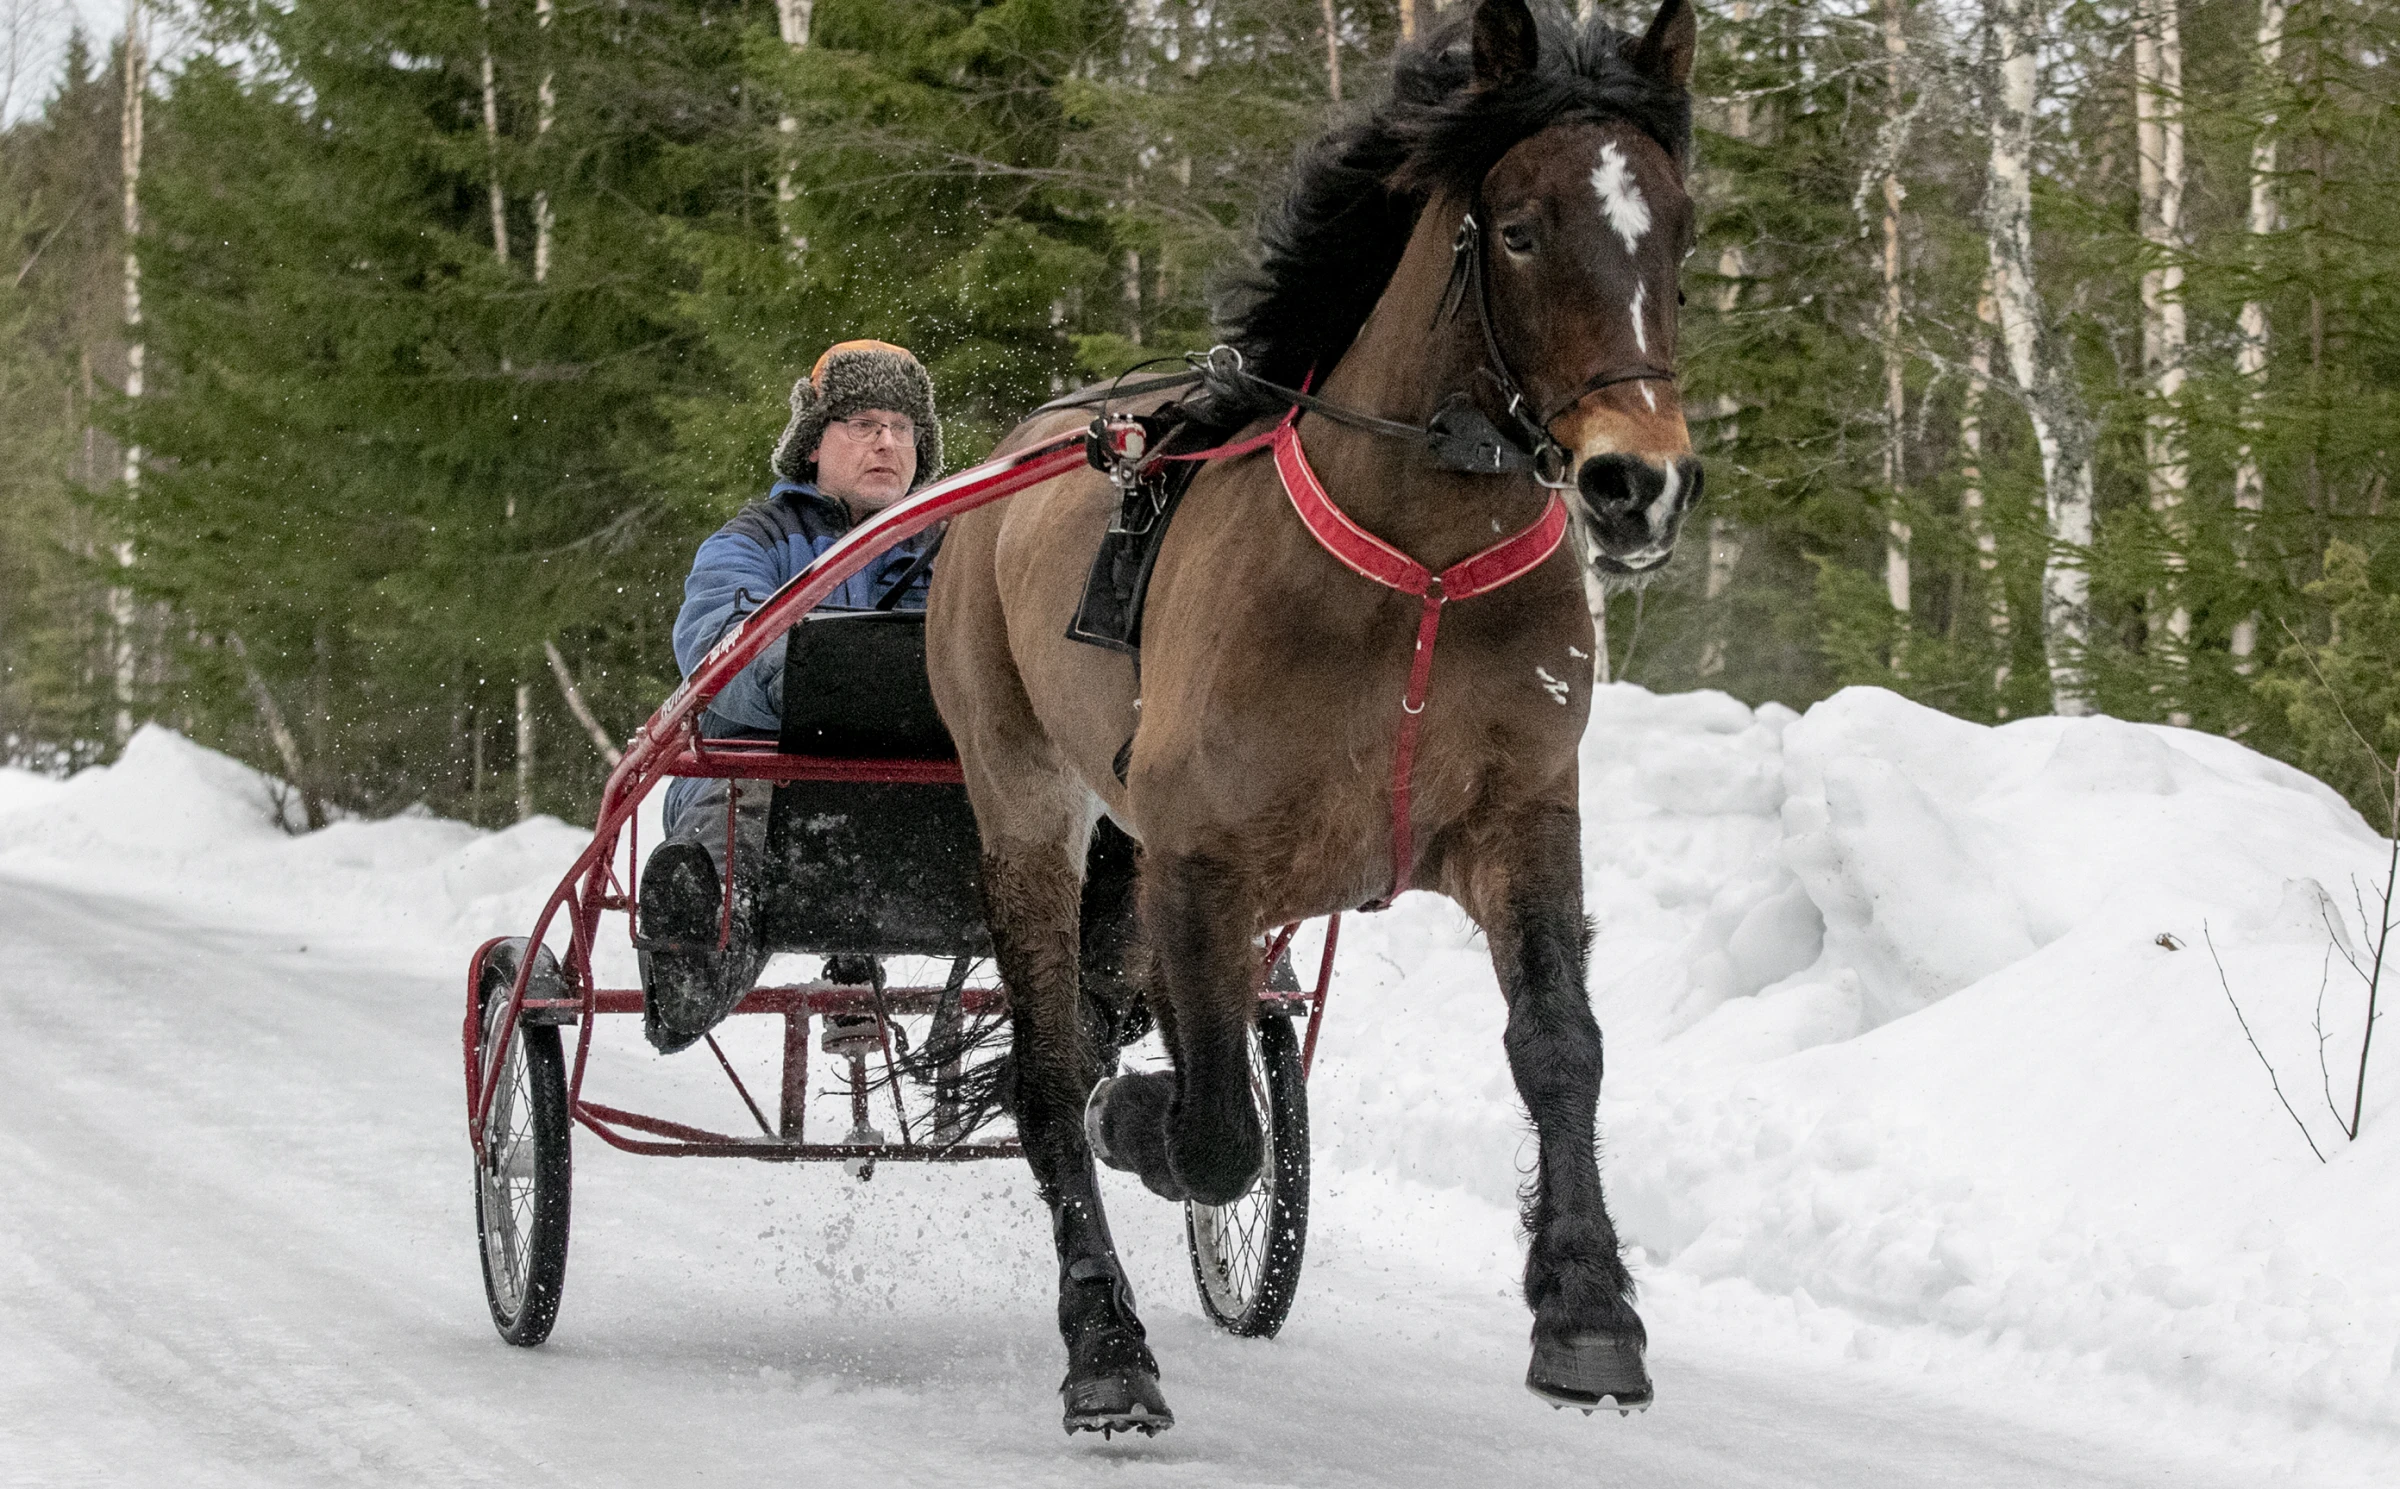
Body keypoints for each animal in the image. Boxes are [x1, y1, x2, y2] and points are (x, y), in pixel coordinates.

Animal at [921, 0, 1708, 1440]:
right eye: (1521, 228)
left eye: (1675, 229)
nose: (1641, 483)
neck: (1421, 573)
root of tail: (1013, 458)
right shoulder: (1197, 856)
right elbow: (1216, 1128)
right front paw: (1142, 1121)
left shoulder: (1522, 813)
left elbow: (1560, 1048)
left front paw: (1586, 1312)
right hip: (1026, 800)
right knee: (1052, 1074)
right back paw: (1104, 1338)